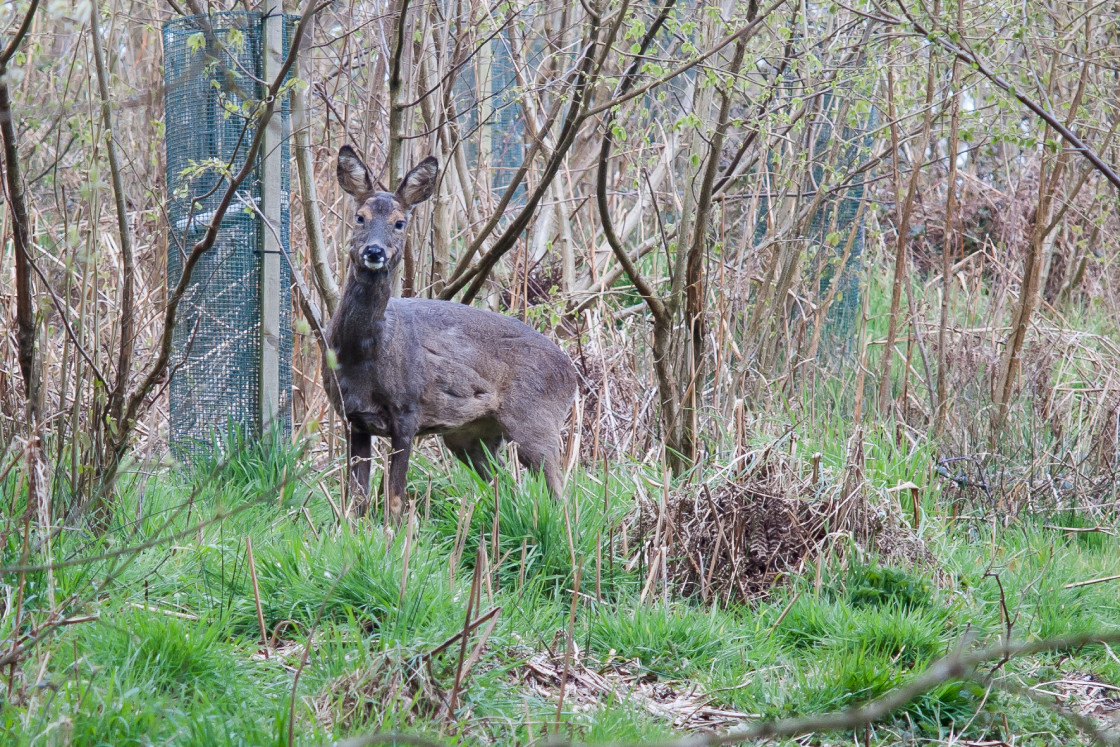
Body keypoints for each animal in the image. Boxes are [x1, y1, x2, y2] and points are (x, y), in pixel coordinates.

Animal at [322, 145, 577, 519]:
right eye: (360, 217)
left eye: (400, 222)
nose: (374, 251)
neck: (364, 354)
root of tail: (572, 373)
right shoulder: (354, 417)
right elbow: (357, 499)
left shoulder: (408, 410)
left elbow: (395, 498)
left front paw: (393, 532)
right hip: (471, 435)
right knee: (508, 485)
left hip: (537, 420)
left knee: (559, 492)